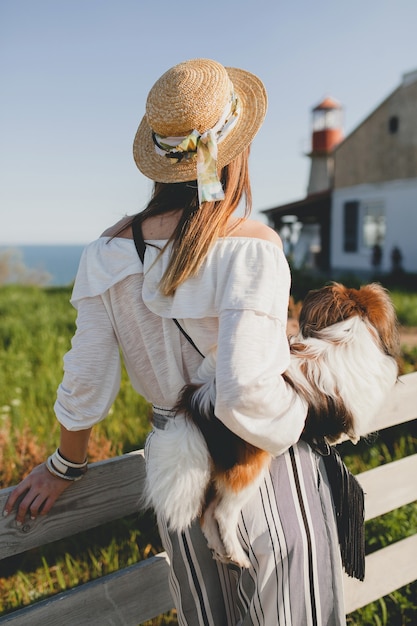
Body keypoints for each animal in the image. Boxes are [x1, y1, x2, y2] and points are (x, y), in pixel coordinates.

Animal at [144, 282, 400, 564]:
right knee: (222, 514)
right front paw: (346, 436)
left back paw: (222, 554)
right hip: (248, 470)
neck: (348, 334)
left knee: (206, 514)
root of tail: (198, 397)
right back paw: (238, 556)